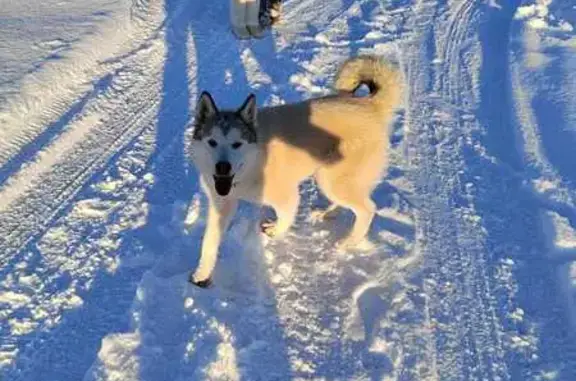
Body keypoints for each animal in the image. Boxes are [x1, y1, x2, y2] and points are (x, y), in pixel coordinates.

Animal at [187, 55, 402, 286]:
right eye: (212, 142)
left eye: (237, 144)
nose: (223, 166)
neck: (251, 166)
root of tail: (370, 105)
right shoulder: (221, 203)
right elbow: (209, 243)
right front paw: (202, 274)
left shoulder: (287, 197)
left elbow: (285, 219)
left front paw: (275, 232)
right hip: (329, 177)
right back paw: (325, 213)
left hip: (331, 179)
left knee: (367, 209)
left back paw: (348, 242)